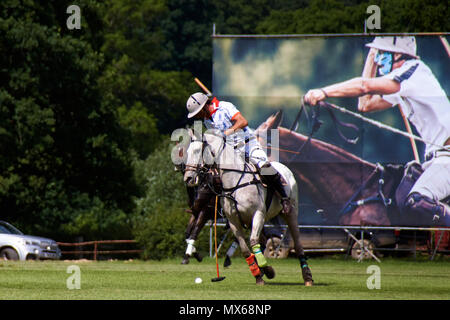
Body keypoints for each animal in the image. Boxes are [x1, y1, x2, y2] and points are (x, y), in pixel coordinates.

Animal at [183, 131, 312, 286]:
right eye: (187, 152)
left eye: (197, 151)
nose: (188, 179)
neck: (234, 182)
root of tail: (285, 168)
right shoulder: (233, 221)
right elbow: (245, 249)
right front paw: (259, 274)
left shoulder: (258, 214)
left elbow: (253, 241)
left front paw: (266, 270)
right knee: (264, 240)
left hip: (290, 212)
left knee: (297, 242)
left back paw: (307, 277)